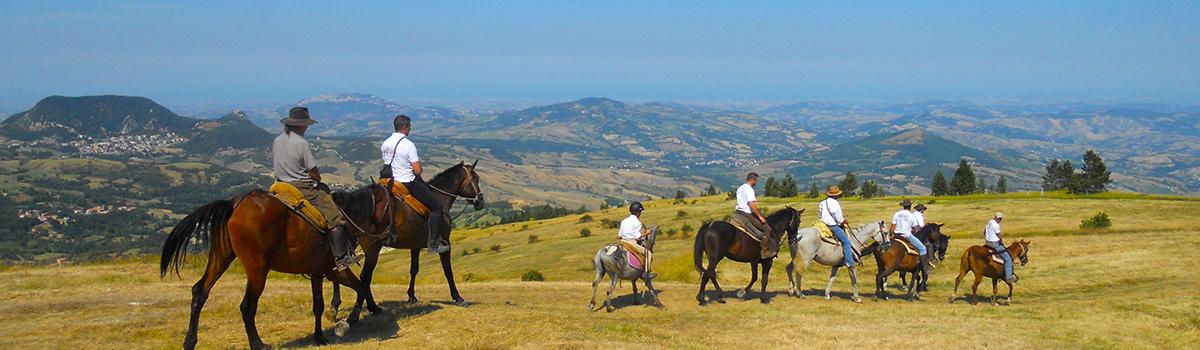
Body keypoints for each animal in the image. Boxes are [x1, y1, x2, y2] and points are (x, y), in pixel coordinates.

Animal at [159, 183, 391, 350]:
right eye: (390, 206)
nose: (387, 235)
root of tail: (234, 204)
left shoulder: (317, 272)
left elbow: (318, 304)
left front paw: (319, 336)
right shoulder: (334, 271)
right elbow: (361, 285)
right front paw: (359, 315)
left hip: (220, 258)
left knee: (200, 291)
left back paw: (190, 341)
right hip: (257, 270)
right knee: (247, 306)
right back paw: (258, 344)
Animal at [331, 160, 484, 311]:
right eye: (476, 179)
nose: (481, 201)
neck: (440, 198)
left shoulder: (415, 245)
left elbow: (414, 270)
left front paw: (411, 296)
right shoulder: (445, 242)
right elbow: (448, 271)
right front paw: (457, 297)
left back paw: (338, 303)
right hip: (372, 248)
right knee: (365, 276)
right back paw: (371, 307)